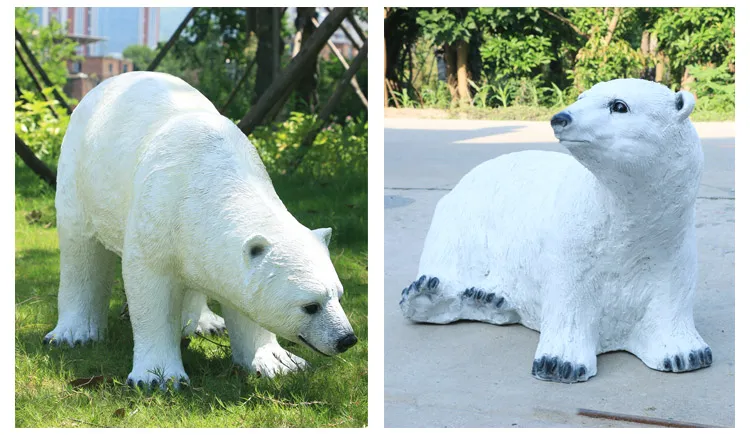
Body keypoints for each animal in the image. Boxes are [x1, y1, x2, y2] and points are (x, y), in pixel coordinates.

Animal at [44, 71, 357, 388]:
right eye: (310, 305)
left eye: (339, 295)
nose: (347, 339)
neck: (210, 177)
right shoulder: (157, 210)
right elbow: (151, 286)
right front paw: (158, 377)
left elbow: (242, 297)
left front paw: (278, 363)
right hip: (80, 175)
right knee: (80, 249)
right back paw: (73, 334)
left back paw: (205, 323)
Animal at [399, 78, 711, 383]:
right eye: (582, 97)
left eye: (619, 105)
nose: (560, 117)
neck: (626, 217)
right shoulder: (577, 233)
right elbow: (569, 294)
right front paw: (560, 363)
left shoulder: (671, 240)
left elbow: (672, 292)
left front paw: (686, 354)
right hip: (465, 214)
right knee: (447, 249)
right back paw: (427, 294)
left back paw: (489, 299)